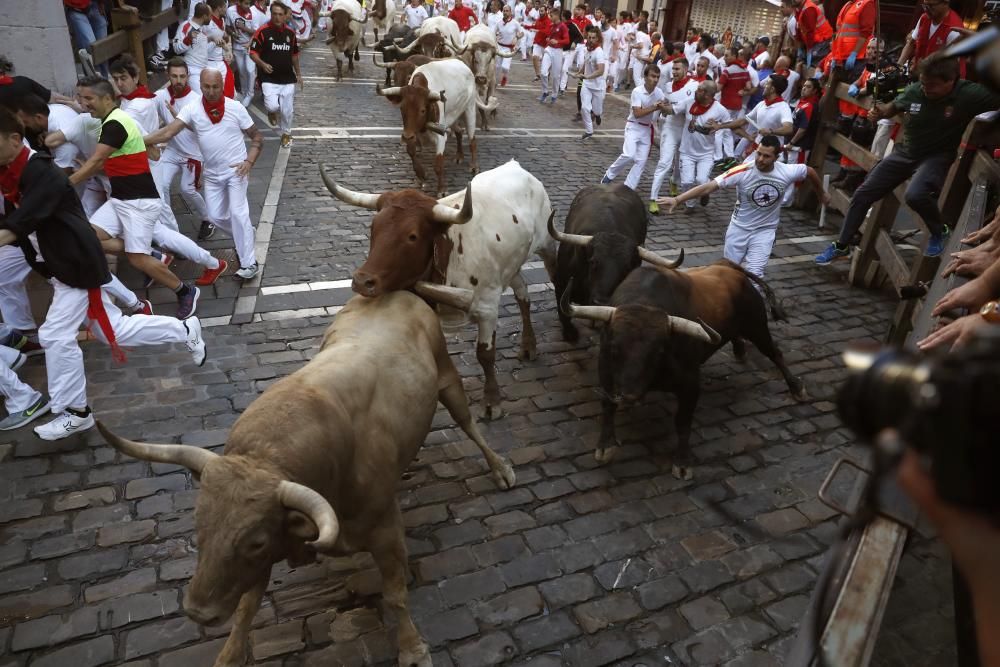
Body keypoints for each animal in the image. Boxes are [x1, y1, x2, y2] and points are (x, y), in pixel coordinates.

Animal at [96, 294, 512, 667]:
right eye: (199, 525)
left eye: (255, 541)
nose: (199, 612)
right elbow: (246, 607)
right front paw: (229, 655)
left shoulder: (385, 530)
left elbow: (395, 595)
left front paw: (412, 649)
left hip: (448, 378)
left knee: (469, 423)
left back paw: (499, 466)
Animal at [560, 260, 808, 480]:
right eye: (614, 347)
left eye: (659, 351)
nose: (629, 396)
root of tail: (733, 269)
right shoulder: (607, 374)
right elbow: (607, 405)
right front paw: (606, 445)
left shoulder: (690, 385)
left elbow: (682, 422)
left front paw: (682, 462)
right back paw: (740, 350)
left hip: (757, 327)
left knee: (776, 354)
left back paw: (796, 388)